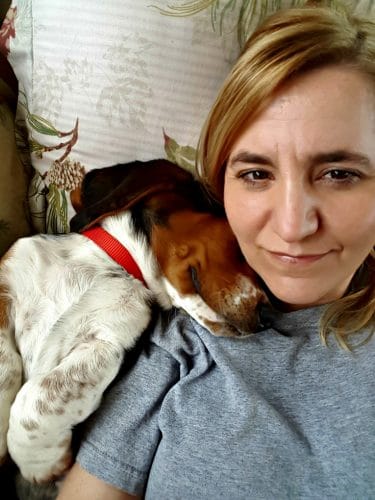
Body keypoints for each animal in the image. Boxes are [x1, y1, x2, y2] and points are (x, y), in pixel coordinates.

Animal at [0, 158, 268, 482]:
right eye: (241, 246)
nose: (268, 315)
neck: (118, 263)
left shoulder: (109, 342)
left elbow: (37, 400)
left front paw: (39, 462)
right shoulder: (6, 285)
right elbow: (7, 366)